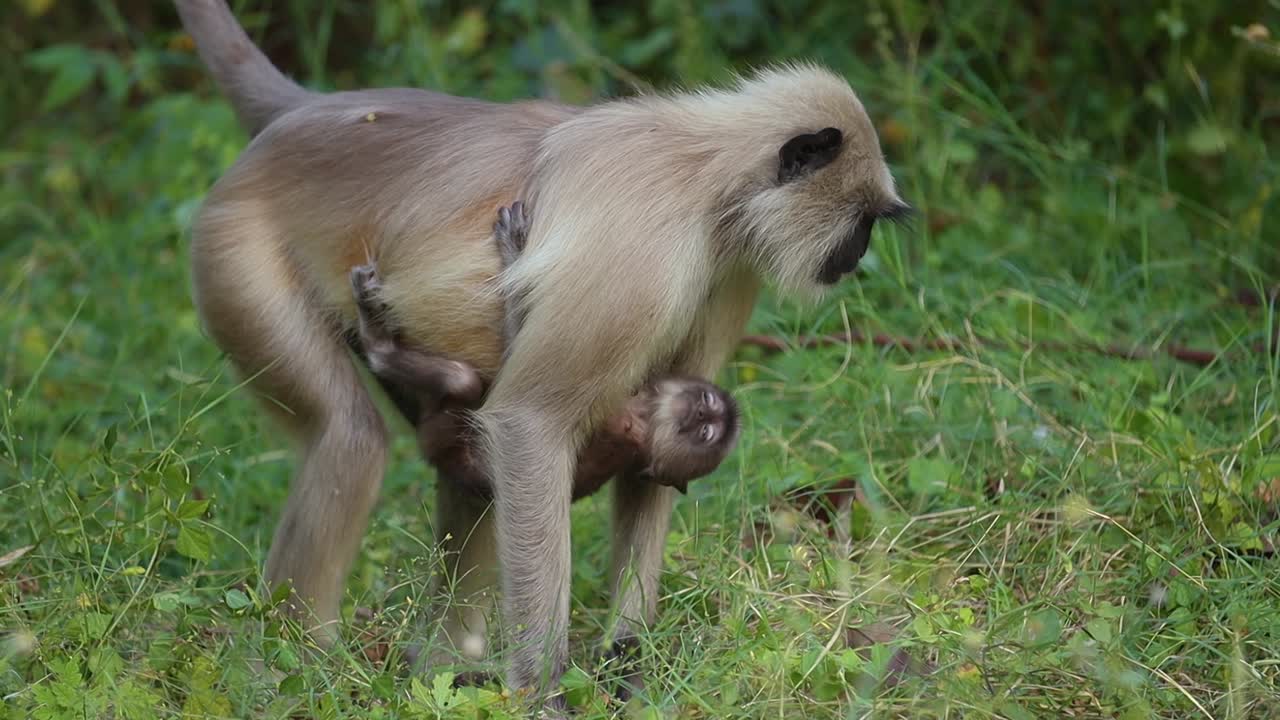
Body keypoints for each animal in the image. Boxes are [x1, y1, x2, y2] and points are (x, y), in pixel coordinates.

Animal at [347, 202, 741, 501]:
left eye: (705, 433)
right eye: (707, 405)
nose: (699, 414)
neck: (643, 426)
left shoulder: (617, 424)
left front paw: (514, 250)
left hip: (440, 428)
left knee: (463, 382)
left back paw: (376, 342)